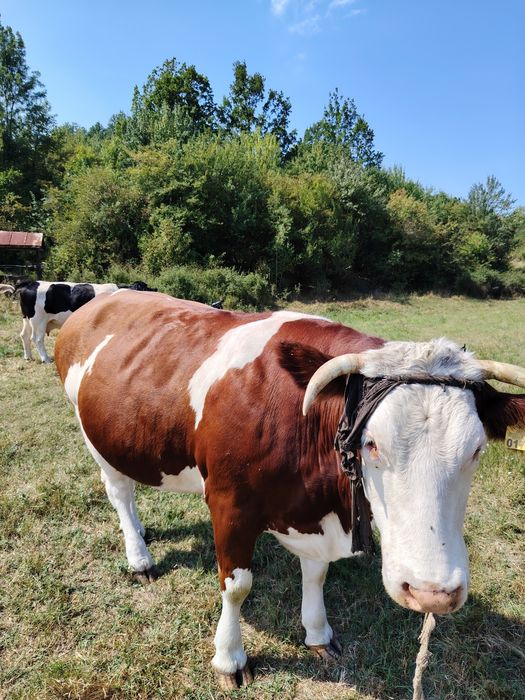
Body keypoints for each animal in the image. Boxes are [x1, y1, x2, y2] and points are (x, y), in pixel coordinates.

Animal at [6, 279, 156, 363]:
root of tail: (31, 282)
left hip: (27, 318)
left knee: (24, 335)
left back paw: (28, 357)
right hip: (38, 320)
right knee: (37, 338)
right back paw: (46, 359)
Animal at [54, 290, 525, 689]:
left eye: (477, 449)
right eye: (372, 443)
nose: (431, 593)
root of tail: (107, 296)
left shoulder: (313, 515)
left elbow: (316, 574)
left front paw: (318, 633)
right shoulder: (228, 503)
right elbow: (236, 586)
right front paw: (230, 659)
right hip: (95, 436)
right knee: (120, 493)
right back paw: (140, 557)